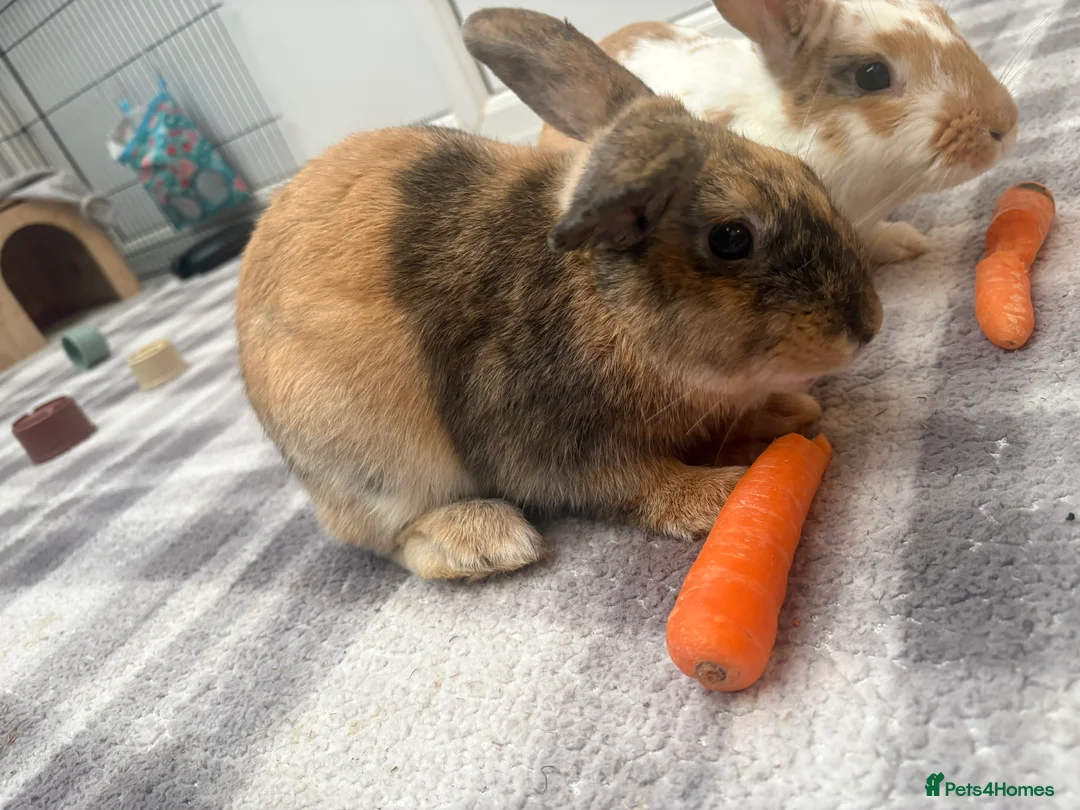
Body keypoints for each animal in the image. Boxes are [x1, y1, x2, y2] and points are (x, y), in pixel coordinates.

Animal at [236, 8, 882, 581]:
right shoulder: (555, 442)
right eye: (731, 238)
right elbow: (634, 482)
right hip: (371, 457)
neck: (609, 306)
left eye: (804, 171)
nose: (869, 324)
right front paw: (719, 494)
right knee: (390, 536)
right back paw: (488, 542)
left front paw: (790, 413)